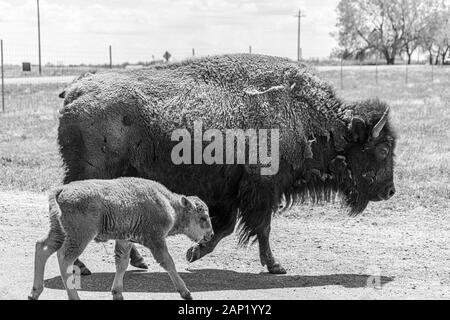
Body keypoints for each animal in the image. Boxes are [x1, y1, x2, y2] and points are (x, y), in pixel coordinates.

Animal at [29, 178, 214, 300]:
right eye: (203, 217)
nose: (211, 235)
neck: (169, 204)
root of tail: (61, 190)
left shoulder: (125, 240)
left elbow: (122, 264)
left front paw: (117, 293)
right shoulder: (156, 240)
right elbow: (168, 262)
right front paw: (186, 292)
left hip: (59, 232)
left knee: (42, 247)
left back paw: (34, 293)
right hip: (80, 236)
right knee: (64, 257)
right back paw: (74, 297)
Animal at [58, 53, 396, 274]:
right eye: (382, 149)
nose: (390, 190)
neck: (303, 114)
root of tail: (77, 88)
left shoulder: (232, 193)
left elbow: (226, 228)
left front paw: (194, 253)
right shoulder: (260, 189)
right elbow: (261, 228)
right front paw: (276, 266)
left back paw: (135, 262)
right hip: (90, 175)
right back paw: (82, 265)